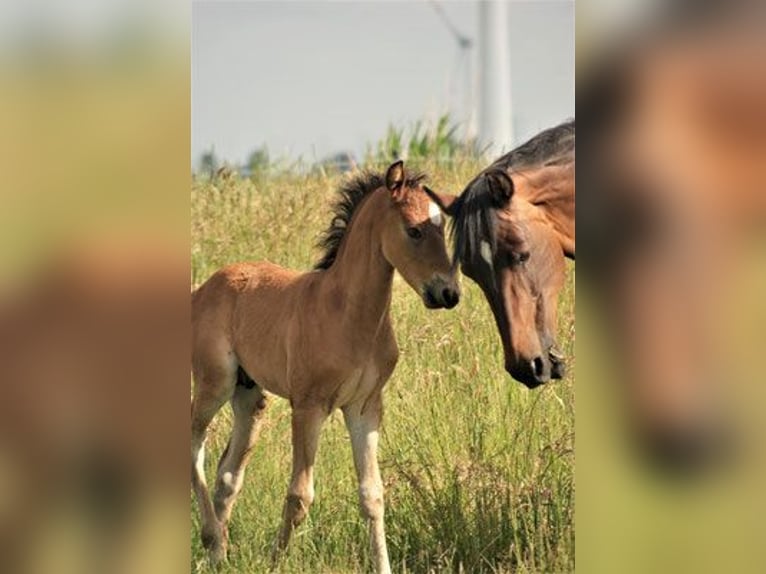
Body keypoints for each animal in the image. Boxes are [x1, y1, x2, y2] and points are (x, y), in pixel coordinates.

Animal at [191, 161, 459, 573]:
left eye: (441, 226)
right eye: (413, 230)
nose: (448, 293)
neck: (347, 315)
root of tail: (202, 290)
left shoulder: (365, 408)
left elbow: (372, 494)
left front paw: (383, 566)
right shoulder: (308, 406)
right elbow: (300, 494)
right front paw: (275, 562)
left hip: (249, 398)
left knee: (228, 474)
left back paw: (219, 552)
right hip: (214, 384)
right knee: (193, 444)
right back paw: (210, 537)